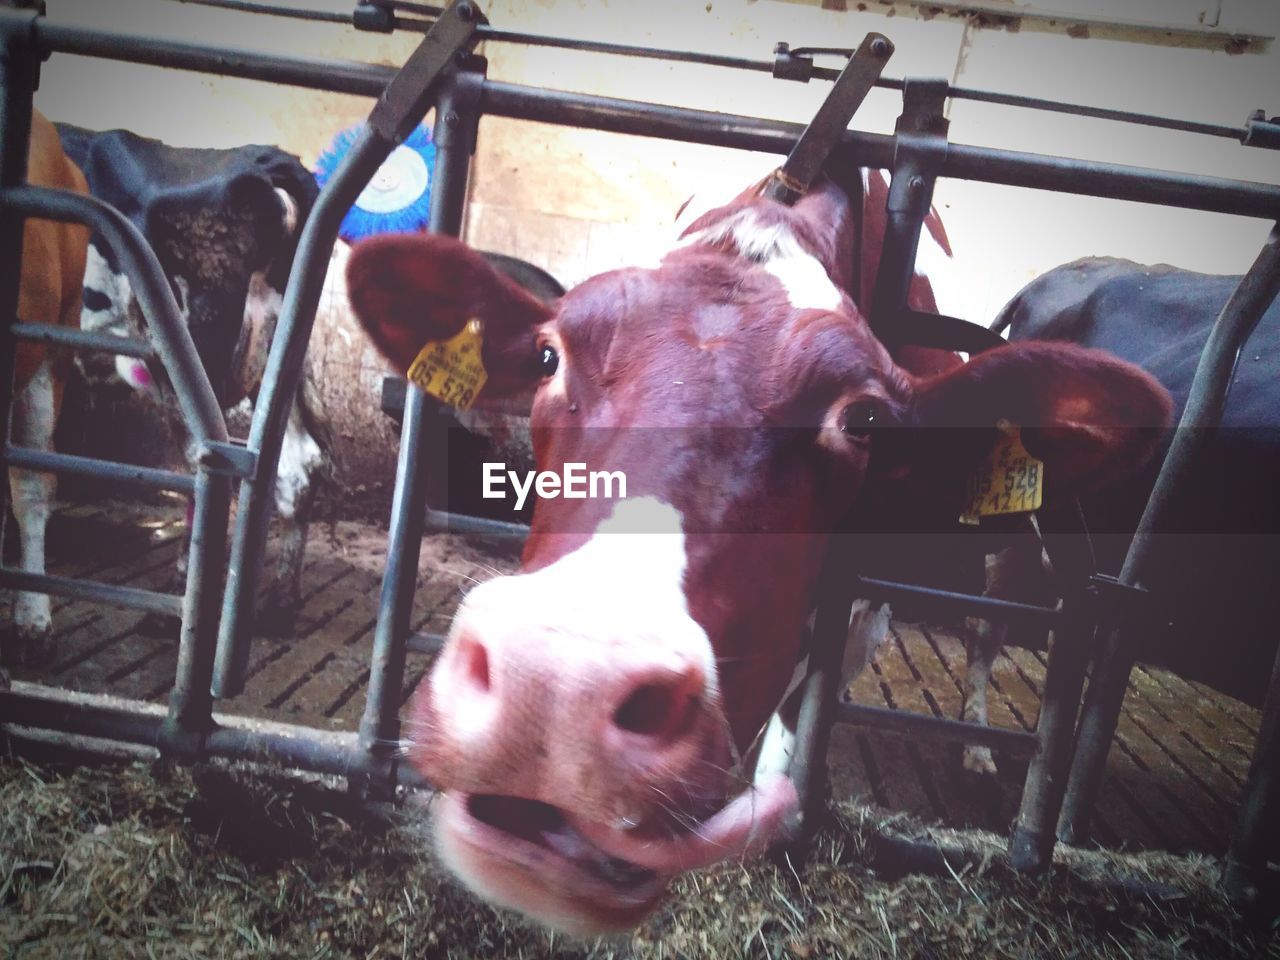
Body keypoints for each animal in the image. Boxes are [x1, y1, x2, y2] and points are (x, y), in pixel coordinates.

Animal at [56, 126, 325, 632]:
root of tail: (261, 161)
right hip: (279, 358)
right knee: (302, 466)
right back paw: (280, 604)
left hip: (189, 360)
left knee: (207, 469)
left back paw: (181, 602)